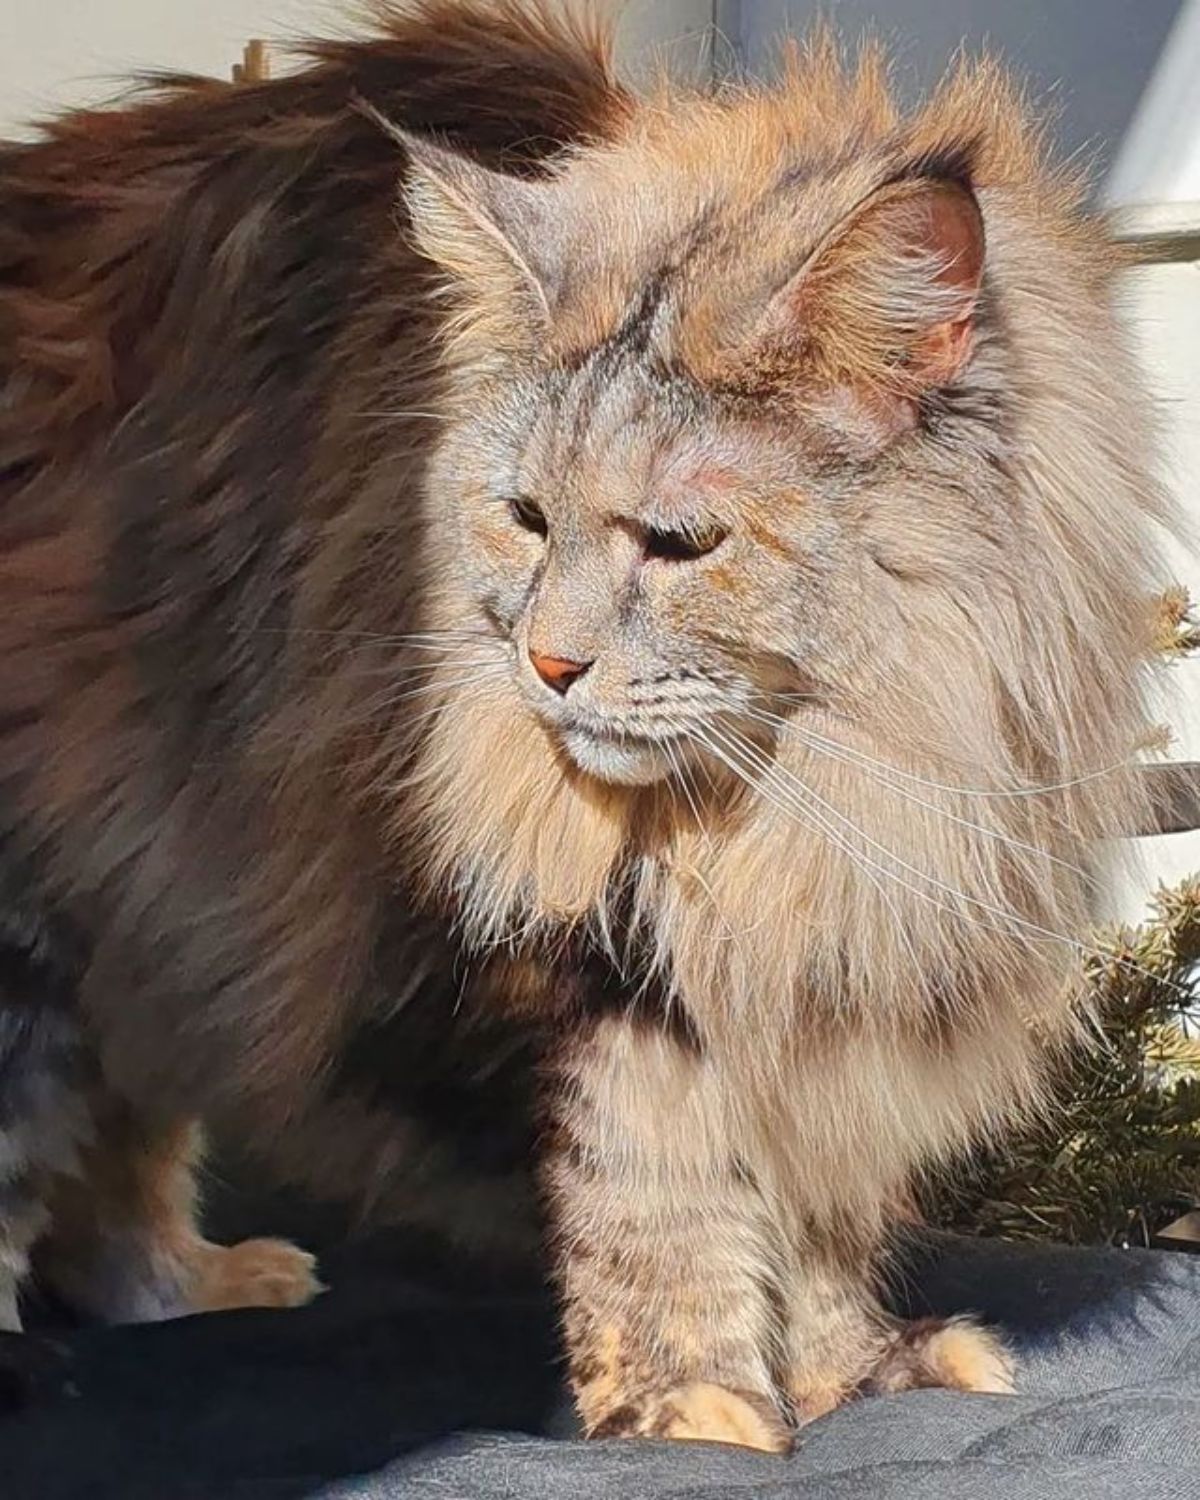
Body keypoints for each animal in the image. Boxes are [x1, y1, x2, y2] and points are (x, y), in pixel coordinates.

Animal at [0, 0, 1170, 1452]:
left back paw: (217, 1281)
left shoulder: (824, 989)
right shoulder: (606, 985)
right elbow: (661, 1213)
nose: (549, 665)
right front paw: (700, 1417)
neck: (818, 803)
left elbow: (821, 1224)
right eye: (525, 518)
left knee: (114, 1201)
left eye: (678, 543)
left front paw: (853, 1375)